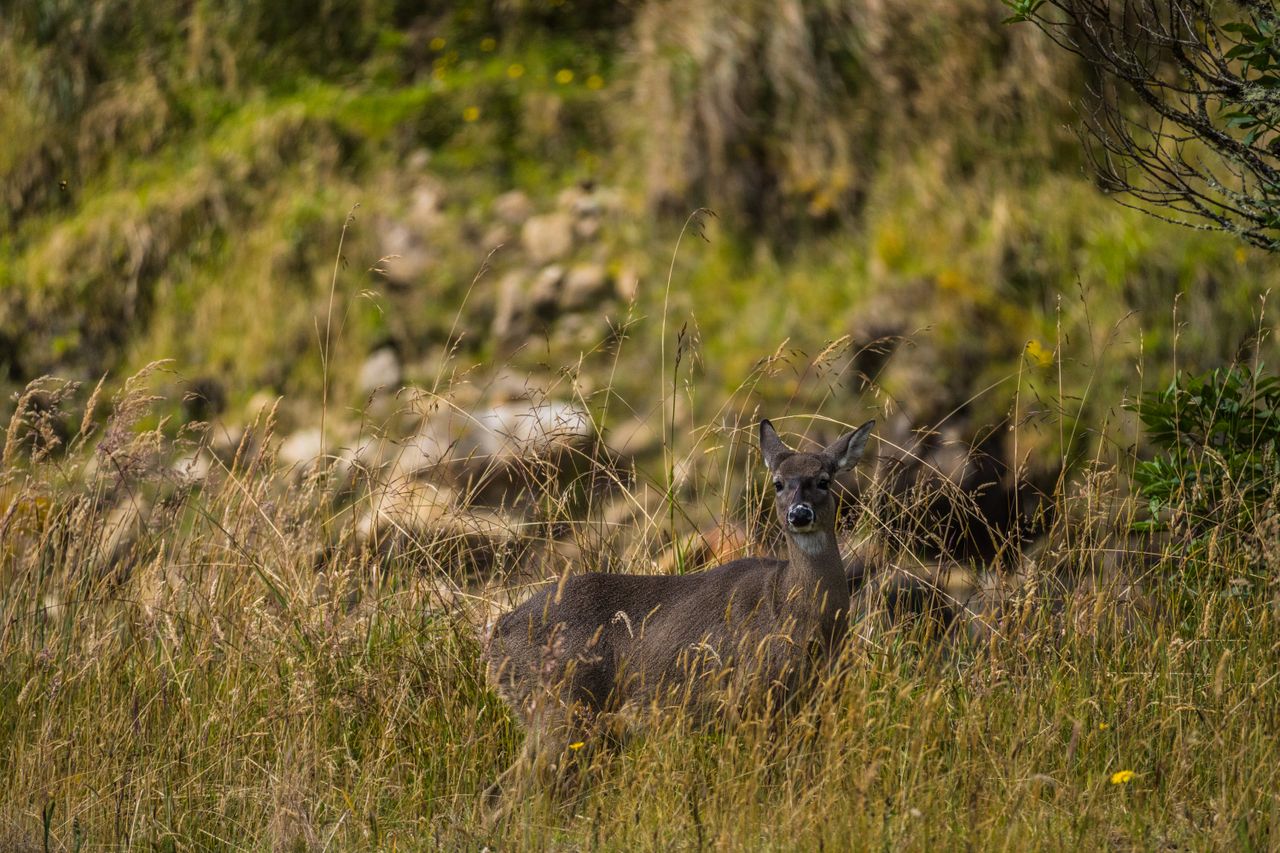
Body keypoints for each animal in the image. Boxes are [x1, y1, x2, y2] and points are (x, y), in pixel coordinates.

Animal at [482, 417, 876, 806]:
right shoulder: (750, 696)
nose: (799, 514)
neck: (794, 610)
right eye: (778, 483)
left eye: (824, 480)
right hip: (561, 706)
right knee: (510, 792)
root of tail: (497, 635)